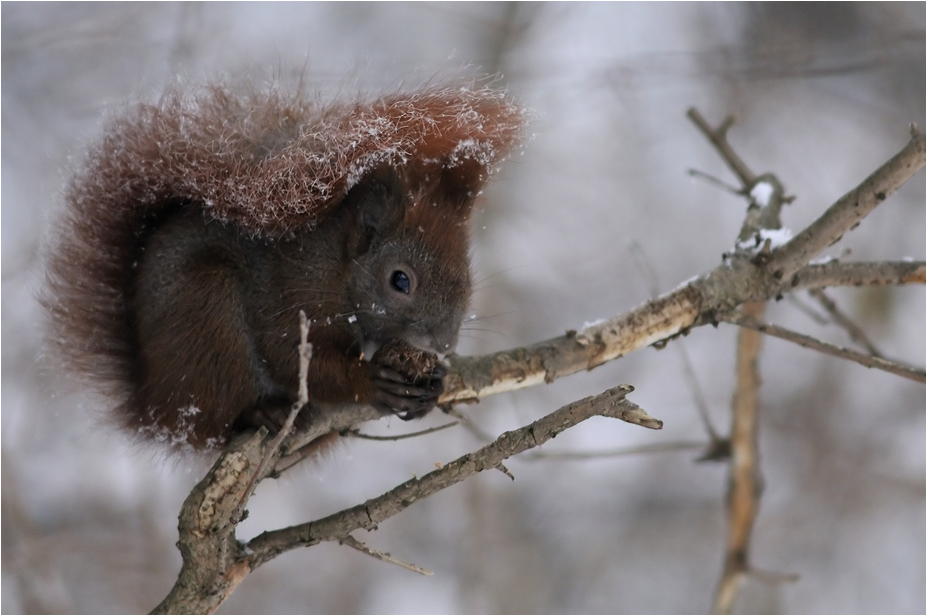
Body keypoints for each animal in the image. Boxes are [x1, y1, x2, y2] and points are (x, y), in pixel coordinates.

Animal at [45, 81, 525, 450]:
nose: (444, 343)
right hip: (206, 318)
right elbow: (290, 358)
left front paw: (435, 382)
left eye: (467, 279)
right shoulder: (290, 293)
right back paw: (262, 413)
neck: (339, 271)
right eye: (400, 280)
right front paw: (369, 382)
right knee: (217, 418)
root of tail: (153, 407)